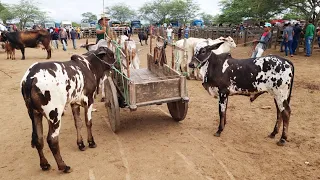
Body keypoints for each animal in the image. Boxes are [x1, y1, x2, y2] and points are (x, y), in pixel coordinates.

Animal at [20, 42, 115, 173]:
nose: (115, 63)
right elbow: (88, 122)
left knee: (38, 139)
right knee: (52, 139)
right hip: (55, 115)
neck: (89, 66)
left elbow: (78, 123)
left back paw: (44, 164)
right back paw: (63, 166)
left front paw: (81, 144)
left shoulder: (74, 103)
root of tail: (30, 77)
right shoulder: (89, 100)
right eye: (111, 54)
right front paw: (91, 142)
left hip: (34, 113)